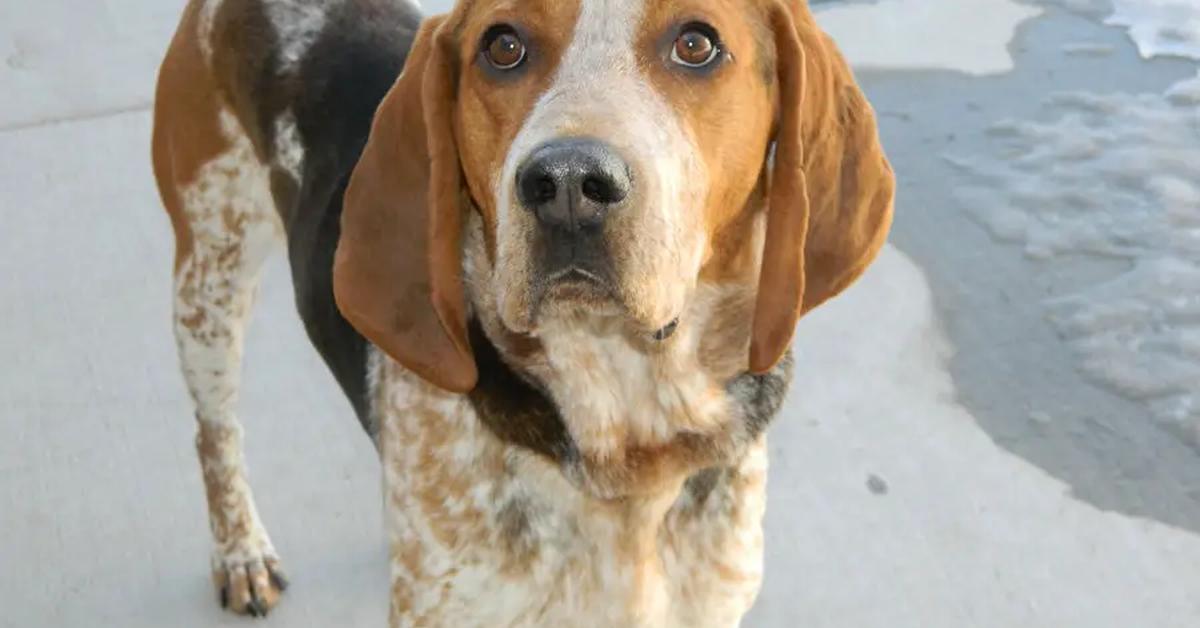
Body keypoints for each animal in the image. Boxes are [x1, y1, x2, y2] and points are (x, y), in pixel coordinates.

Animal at [152, 0, 892, 624]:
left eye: (696, 44)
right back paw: (241, 552)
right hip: (207, 280)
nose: (567, 184)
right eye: (502, 46)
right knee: (214, 432)